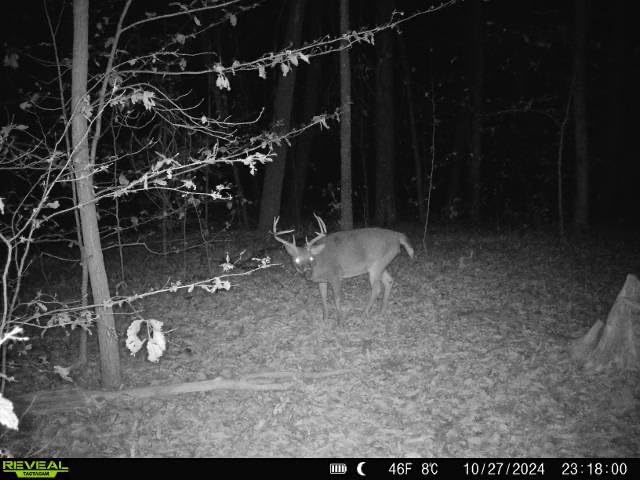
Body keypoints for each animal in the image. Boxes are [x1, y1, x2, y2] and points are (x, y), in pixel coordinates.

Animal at [273, 214, 414, 325]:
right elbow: (323, 297)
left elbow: (337, 298)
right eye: (296, 260)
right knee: (389, 281)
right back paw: (381, 312)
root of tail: (398, 236)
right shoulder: (322, 280)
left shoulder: (336, 274)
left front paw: (340, 321)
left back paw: (363, 314)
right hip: (379, 265)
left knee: (377, 288)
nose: (307, 273)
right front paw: (325, 318)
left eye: (311, 258)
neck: (319, 264)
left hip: (378, 264)